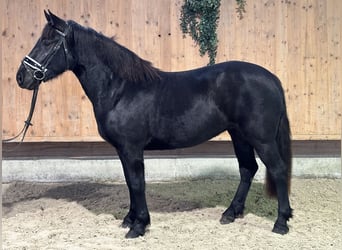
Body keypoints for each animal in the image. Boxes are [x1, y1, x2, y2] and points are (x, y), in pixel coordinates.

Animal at [16, 11, 292, 238]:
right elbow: (130, 182)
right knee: (247, 169)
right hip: (239, 135)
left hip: (261, 139)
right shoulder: (122, 150)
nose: (21, 77)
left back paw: (281, 223)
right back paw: (230, 213)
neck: (121, 89)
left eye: (48, 41)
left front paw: (139, 226)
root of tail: (272, 78)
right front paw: (129, 220)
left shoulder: (131, 148)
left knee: (277, 170)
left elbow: (138, 183)